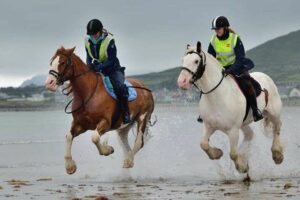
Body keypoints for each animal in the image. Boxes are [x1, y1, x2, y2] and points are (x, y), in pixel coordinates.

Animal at [178, 41, 284, 173]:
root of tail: (265, 76)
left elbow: (233, 154)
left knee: (277, 128)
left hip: (274, 113)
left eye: (196, 61)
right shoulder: (208, 126)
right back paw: (245, 154)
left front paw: (242, 167)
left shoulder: (233, 130)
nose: (181, 82)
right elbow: (203, 144)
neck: (217, 96)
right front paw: (217, 153)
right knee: (250, 134)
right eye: (183, 60)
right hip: (244, 123)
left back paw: (277, 155)